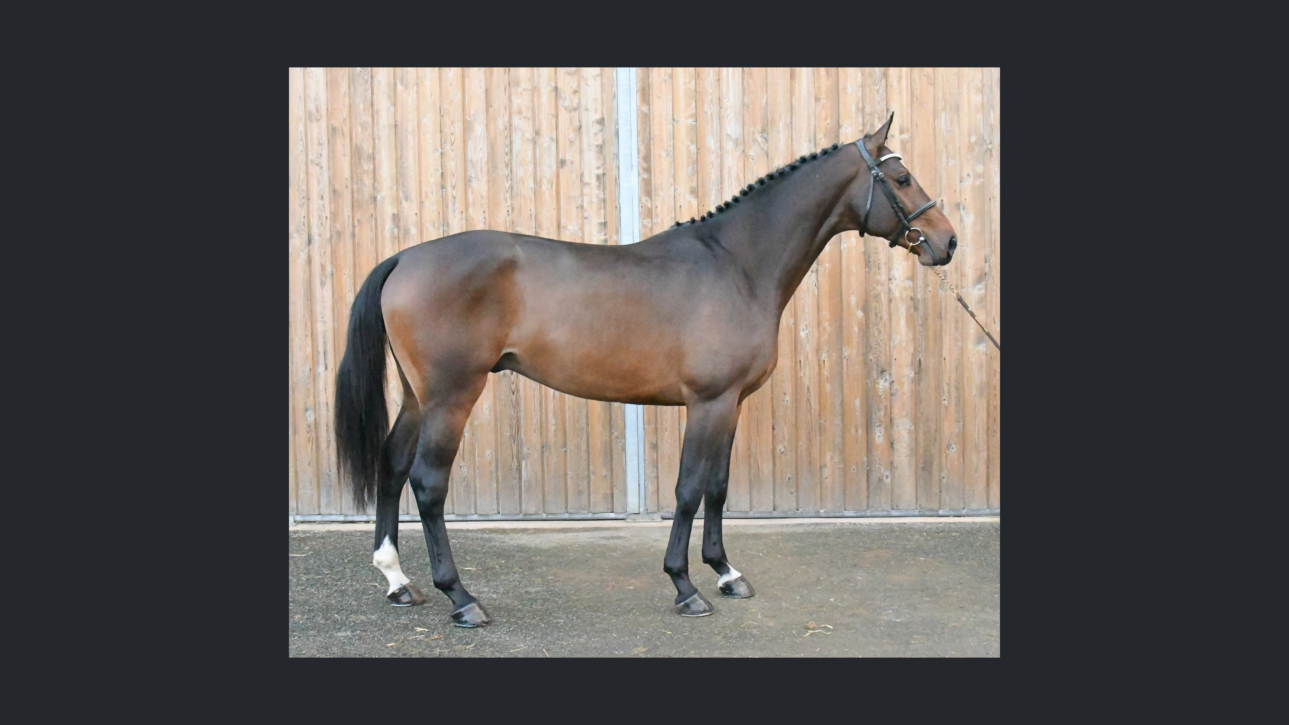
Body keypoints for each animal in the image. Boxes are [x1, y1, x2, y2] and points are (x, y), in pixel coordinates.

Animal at [334, 113, 957, 627]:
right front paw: (686, 587)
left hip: (417, 397)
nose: (947, 242)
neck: (737, 265)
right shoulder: (708, 403)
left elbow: (718, 488)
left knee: (392, 466)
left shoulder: (732, 404)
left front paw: (726, 573)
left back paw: (397, 581)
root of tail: (405, 257)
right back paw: (461, 599)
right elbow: (687, 489)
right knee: (427, 483)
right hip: (451, 396)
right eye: (902, 179)